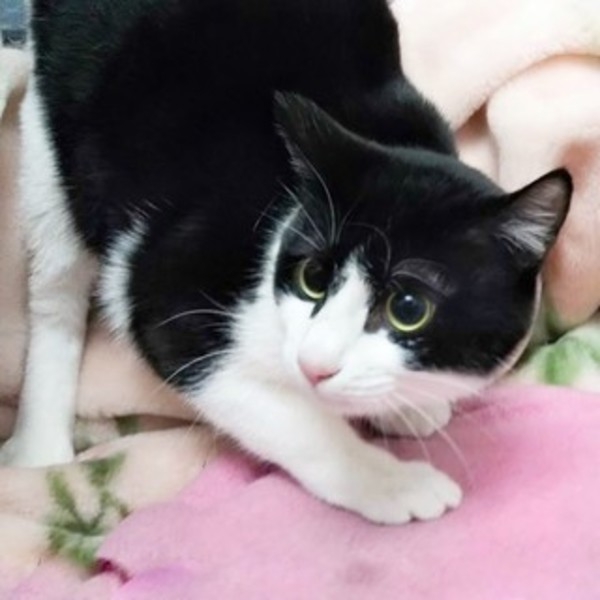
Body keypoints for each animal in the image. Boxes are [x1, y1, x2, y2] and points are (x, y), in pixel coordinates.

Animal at [0, 0, 572, 524]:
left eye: (408, 308)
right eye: (312, 277)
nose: (315, 365)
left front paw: (410, 407)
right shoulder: (168, 288)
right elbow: (289, 418)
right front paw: (388, 481)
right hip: (54, 137)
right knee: (55, 288)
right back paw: (41, 447)